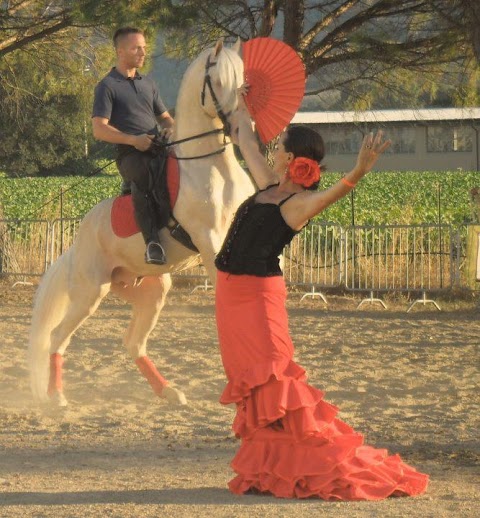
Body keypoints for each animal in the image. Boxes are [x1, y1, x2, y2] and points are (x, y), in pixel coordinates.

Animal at [27, 39, 255, 406]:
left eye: (243, 81)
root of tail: (75, 246)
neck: (211, 166)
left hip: (146, 289)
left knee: (133, 342)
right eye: (218, 81)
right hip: (90, 292)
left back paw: (168, 391)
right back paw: (57, 397)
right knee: (58, 336)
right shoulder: (210, 242)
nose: (238, 128)